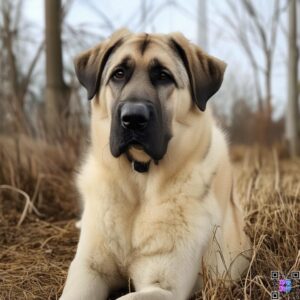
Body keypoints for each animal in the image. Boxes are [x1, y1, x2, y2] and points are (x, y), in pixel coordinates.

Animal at [59, 28, 250, 300]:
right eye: (118, 74)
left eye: (163, 76)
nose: (133, 118)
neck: (139, 182)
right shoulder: (88, 269)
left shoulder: (164, 287)